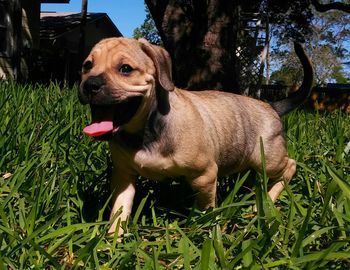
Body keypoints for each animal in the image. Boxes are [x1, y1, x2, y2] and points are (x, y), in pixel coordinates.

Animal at [80, 37, 314, 235]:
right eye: (87, 65)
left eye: (125, 69)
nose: (89, 85)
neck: (147, 130)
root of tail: (272, 106)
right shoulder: (123, 175)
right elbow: (120, 209)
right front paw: (111, 241)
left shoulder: (205, 175)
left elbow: (205, 208)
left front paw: (202, 231)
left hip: (268, 157)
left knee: (290, 166)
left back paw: (267, 201)